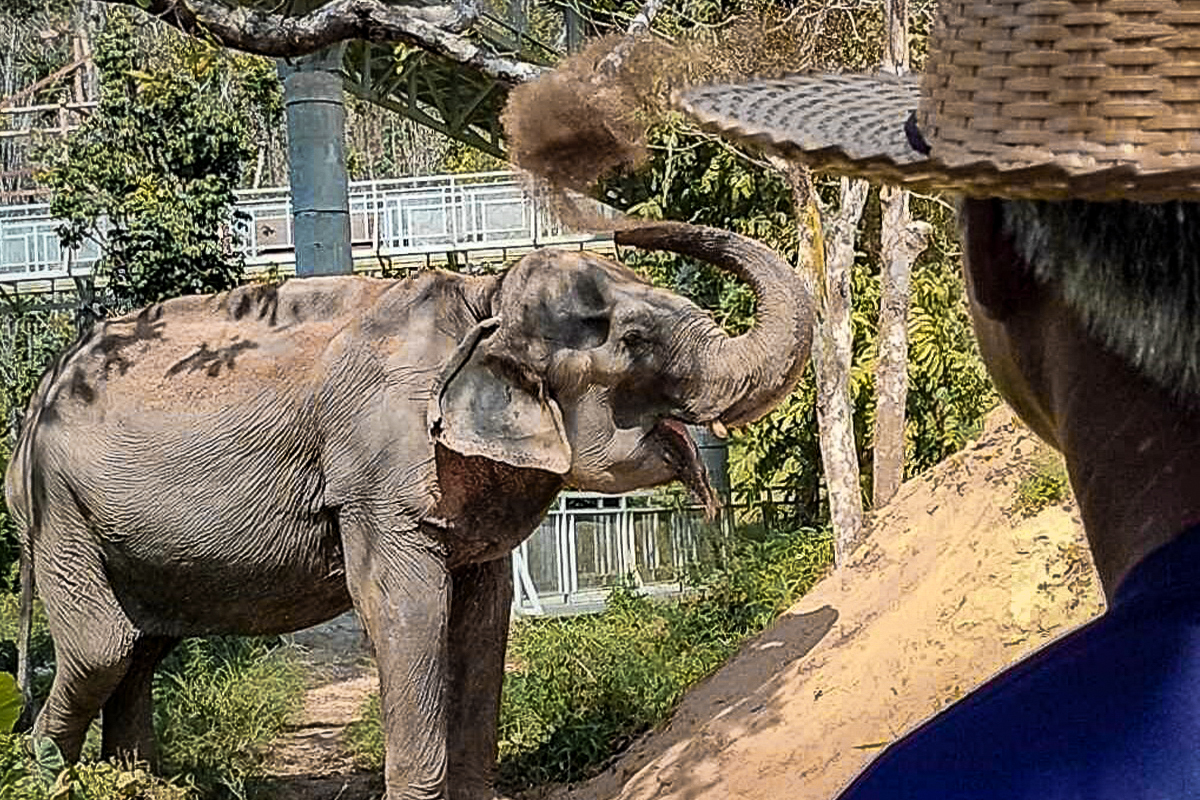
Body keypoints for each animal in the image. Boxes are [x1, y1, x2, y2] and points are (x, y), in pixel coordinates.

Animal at [4, 221, 813, 800]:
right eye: (636, 340)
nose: (625, 225)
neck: (483, 297)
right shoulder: (377, 470)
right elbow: (408, 608)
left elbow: (482, 617)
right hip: (57, 513)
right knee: (105, 646)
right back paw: (52, 777)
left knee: (143, 649)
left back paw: (133, 783)